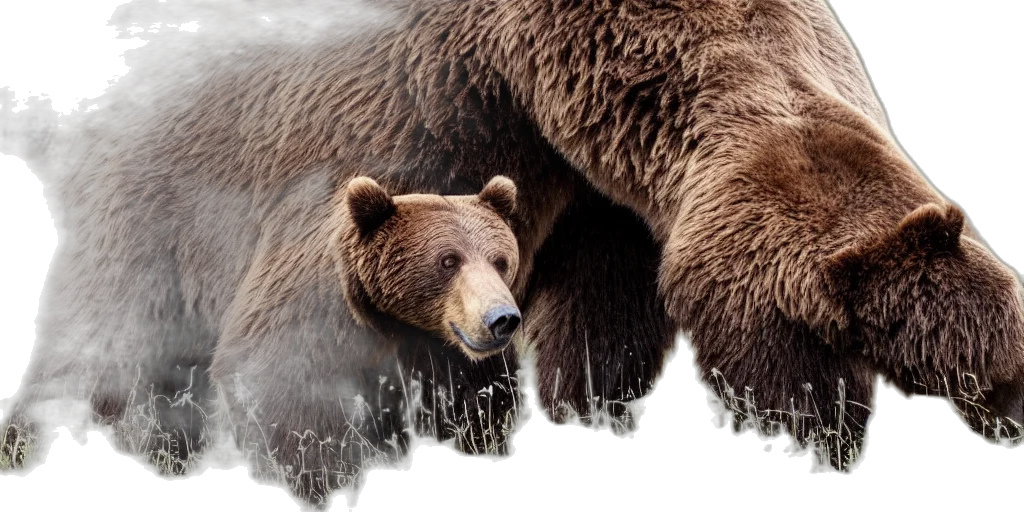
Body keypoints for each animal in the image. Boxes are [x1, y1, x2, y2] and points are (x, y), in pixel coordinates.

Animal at [3, 0, 1023, 480]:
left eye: (1006, 346)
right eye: (819, 343)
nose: (1010, 408)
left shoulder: (597, 198)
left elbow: (602, 322)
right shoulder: (427, 122)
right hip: (150, 213)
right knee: (116, 334)